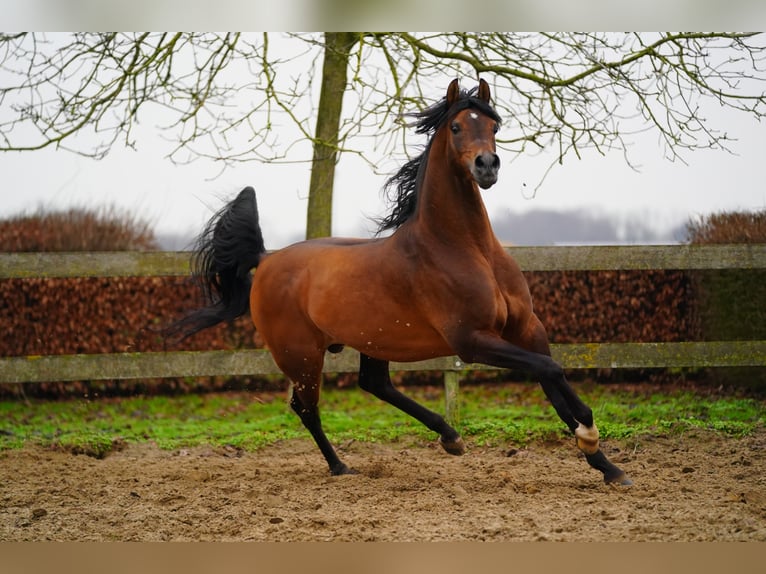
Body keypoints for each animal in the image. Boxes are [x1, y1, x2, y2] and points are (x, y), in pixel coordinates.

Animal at [171, 79, 632, 486]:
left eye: (494, 126)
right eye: (456, 126)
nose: (487, 166)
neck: (467, 248)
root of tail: (266, 260)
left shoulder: (527, 329)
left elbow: (551, 377)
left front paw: (607, 466)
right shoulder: (472, 340)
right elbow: (550, 369)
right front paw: (589, 435)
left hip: (371, 340)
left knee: (373, 384)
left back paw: (450, 437)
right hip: (300, 355)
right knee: (306, 407)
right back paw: (341, 467)